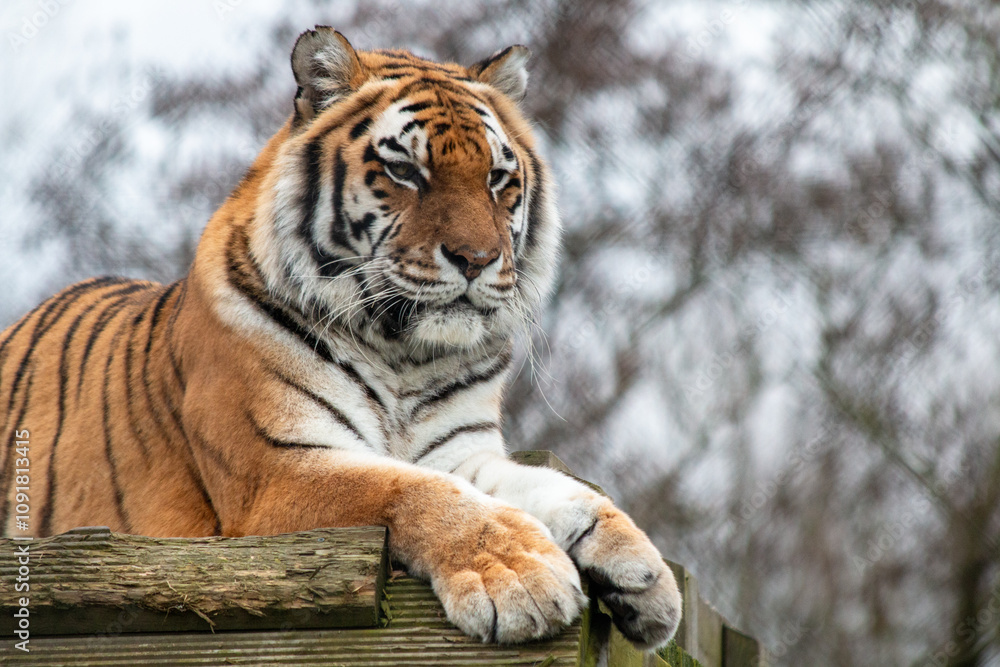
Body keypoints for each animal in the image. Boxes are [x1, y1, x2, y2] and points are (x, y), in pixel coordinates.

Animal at [0, 27, 681, 648]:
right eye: (405, 171)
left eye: (497, 179)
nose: (477, 259)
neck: (405, 354)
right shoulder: (276, 468)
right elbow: (415, 491)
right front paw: (519, 577)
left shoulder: (462, 454)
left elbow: (554, 489)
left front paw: (644, 573)